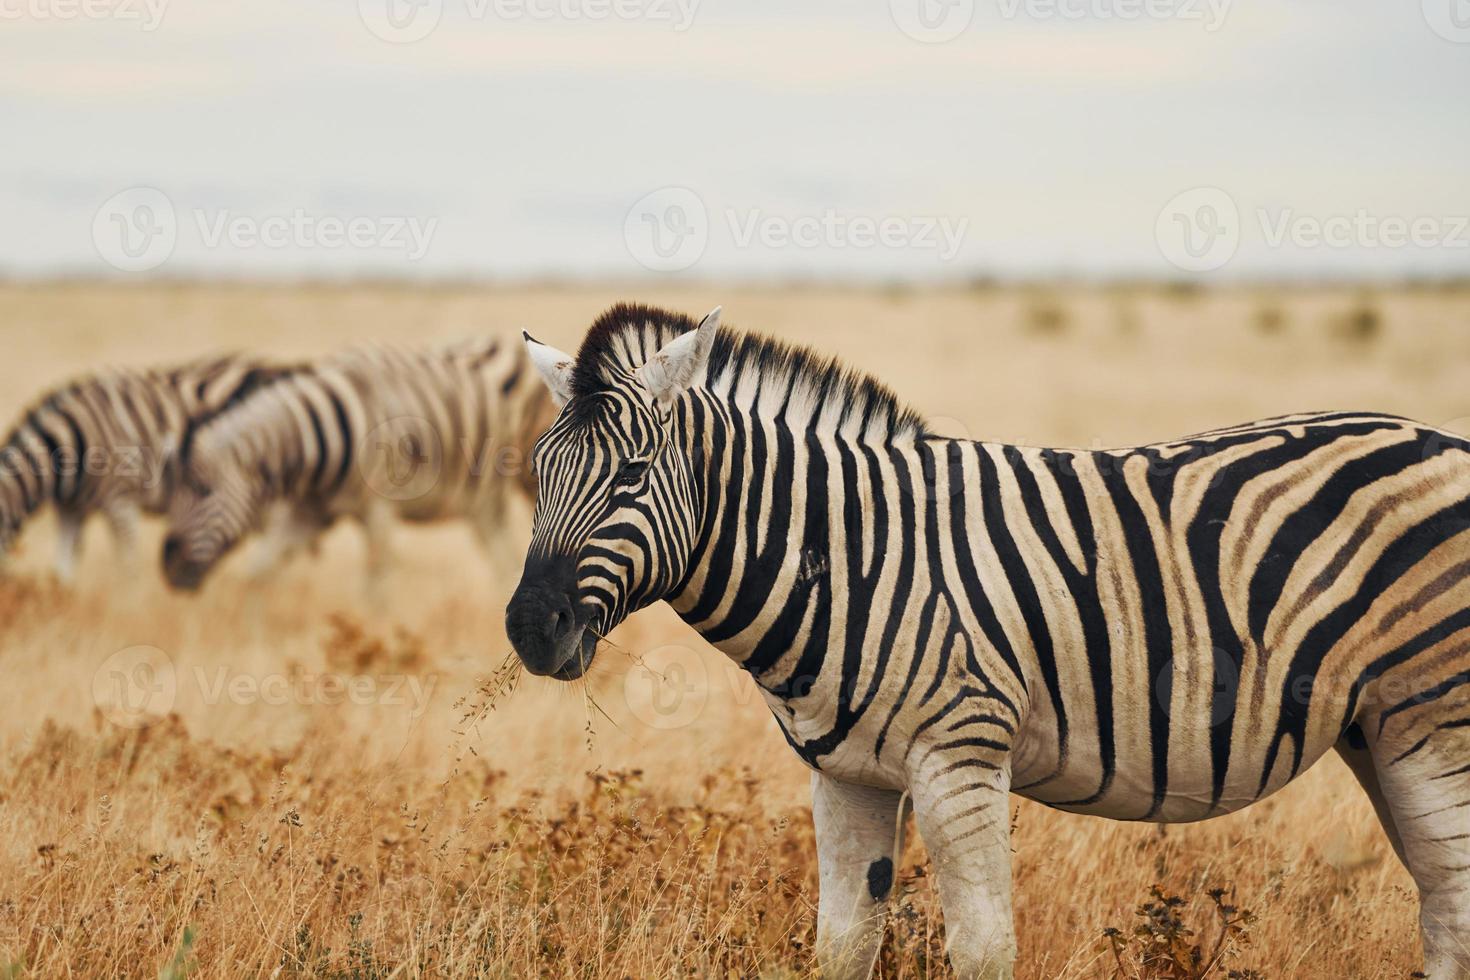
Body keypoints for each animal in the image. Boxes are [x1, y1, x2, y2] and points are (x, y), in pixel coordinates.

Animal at [158, 333, 552, 593]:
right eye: (174, 492)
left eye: (203, 491)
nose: (168, 566)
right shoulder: (309, 512)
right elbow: (259, 572)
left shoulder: (379, 510)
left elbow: (375, 585)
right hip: (483, 500)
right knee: (503, 558)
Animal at [505, 304, 1470, 980]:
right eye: (538, 474)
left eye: (633, 475)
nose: (527, 628)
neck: (850, 554)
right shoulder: (845, 776)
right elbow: (842, 947)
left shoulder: (960, 755)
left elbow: (982, 949)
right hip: (1376, 733)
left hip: (1432, 722)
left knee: (1452, 908)